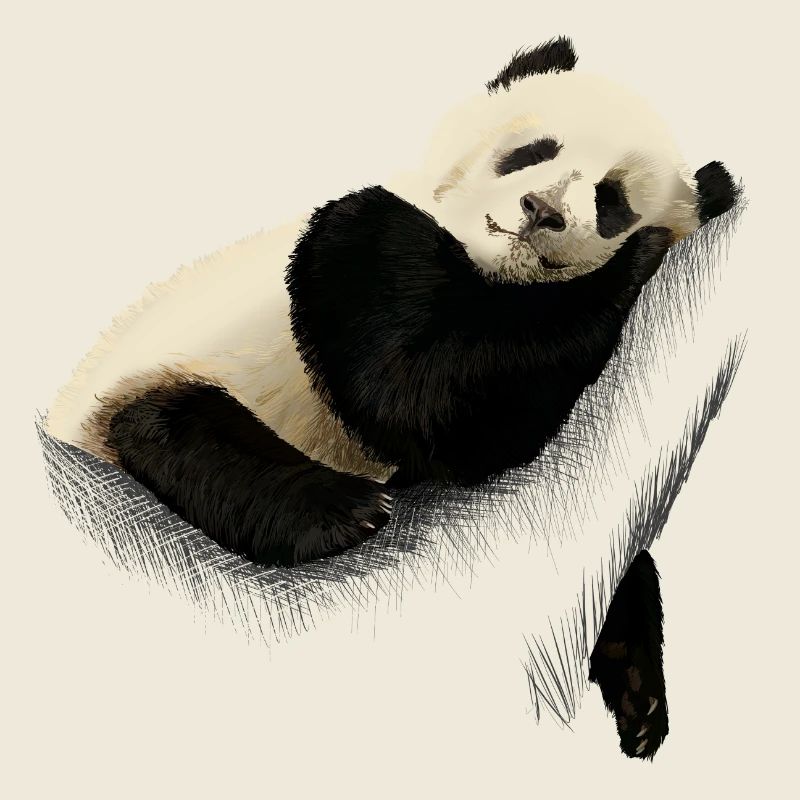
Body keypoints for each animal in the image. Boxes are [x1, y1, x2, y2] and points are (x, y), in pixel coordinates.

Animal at [46, 36, 737, 571]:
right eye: (533, 151)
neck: (482, 264)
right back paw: (340, 509)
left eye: (611, 200)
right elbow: (418, 393)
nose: (541, 210)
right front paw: (635, 259)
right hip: (160, 377)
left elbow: (472, 414)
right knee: (176, 429)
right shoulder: (350, 245)